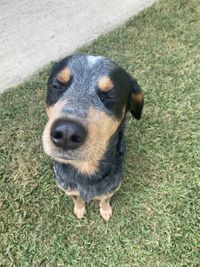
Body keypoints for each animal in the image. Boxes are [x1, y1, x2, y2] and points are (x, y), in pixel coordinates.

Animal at [43, 54, 144, 222]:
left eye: (110, 95)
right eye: (57, 85)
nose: (66, 133)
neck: (85, 168)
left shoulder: (111, 188)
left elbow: (104, 199)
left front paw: (105, 210)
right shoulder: (69, 189)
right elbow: (77, 198)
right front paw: (79, 209)